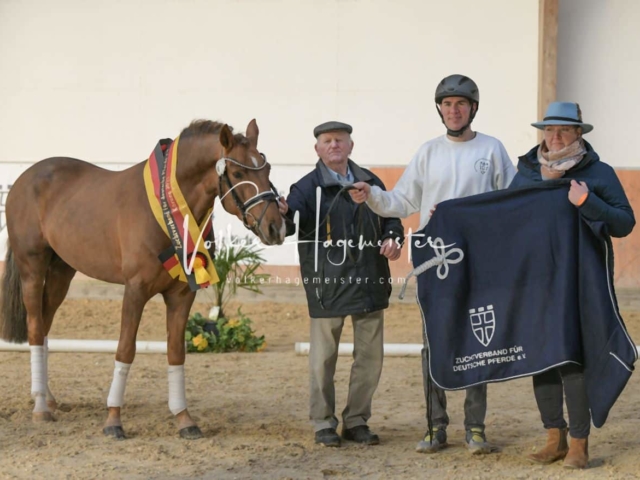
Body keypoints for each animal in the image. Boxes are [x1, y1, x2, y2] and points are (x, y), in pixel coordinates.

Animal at [0, 119, 284, 438]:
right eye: (237, 173)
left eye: (267, 170)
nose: (276, 227)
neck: (166, 209)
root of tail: (25, 178)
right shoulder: (135, 290)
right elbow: (125, 349)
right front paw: (113, 420)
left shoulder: (182, 294)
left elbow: (176, 352)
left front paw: (184, 419)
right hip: (32, 269)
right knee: (36, 329)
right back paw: (40, 407)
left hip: (62, 271)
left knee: (46, 325)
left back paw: (47, 397)